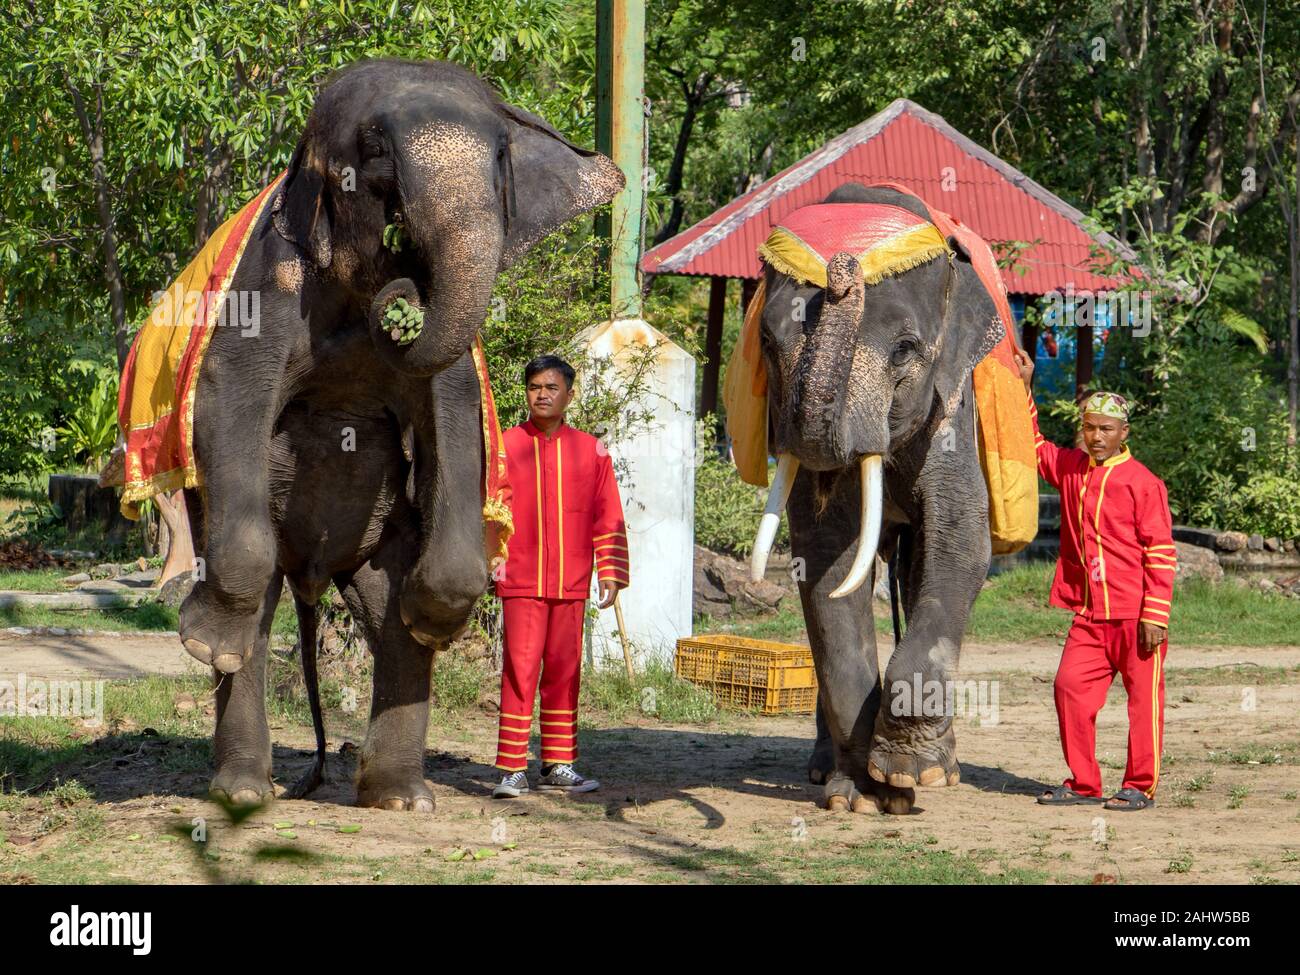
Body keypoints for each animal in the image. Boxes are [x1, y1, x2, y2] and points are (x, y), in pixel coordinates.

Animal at [176, 58, 623, 809]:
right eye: (375, 150)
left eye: (499, 158)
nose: (405, 283)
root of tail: (313, 573)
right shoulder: (269, 284)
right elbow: (229, 400)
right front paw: (204, 643)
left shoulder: (451, 372)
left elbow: (456, 418)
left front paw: (433, 618)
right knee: (257, 610)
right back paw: (243, 789)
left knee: (385, 618)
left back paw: (400, 794)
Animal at [748, 183, 1003, 815]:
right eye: (766, 341)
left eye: (906, 349)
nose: (843, 268)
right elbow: (824, 558)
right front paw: (861, 796)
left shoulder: (951, 401)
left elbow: (961, 540)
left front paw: (907, 777)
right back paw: (824, 771)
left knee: (916, 571)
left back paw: (944, 769)